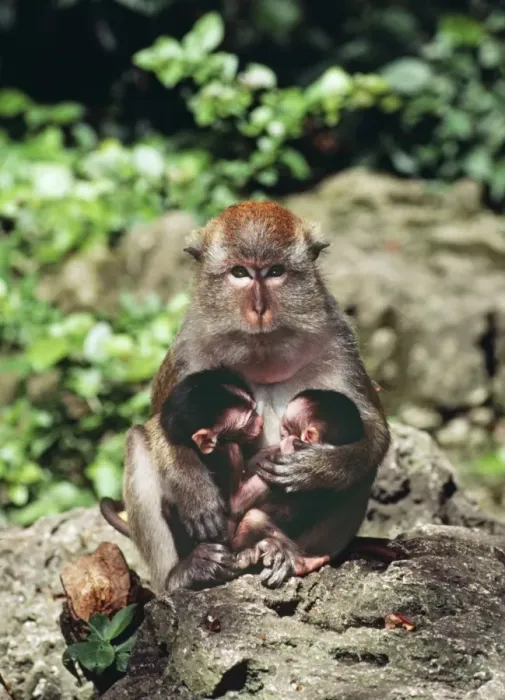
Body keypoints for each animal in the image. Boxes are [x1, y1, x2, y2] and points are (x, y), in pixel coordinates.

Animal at [102, 201, 391, 594]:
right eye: (239, 273)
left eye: (274, 272)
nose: (259, 308)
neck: (262, 355)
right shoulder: (188, 349)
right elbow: (159, 425)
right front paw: (195, 491)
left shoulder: (339, 342)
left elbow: (373, 432)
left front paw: (314, 468)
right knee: (137, 442)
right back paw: (182, 574)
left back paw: (298, 556)